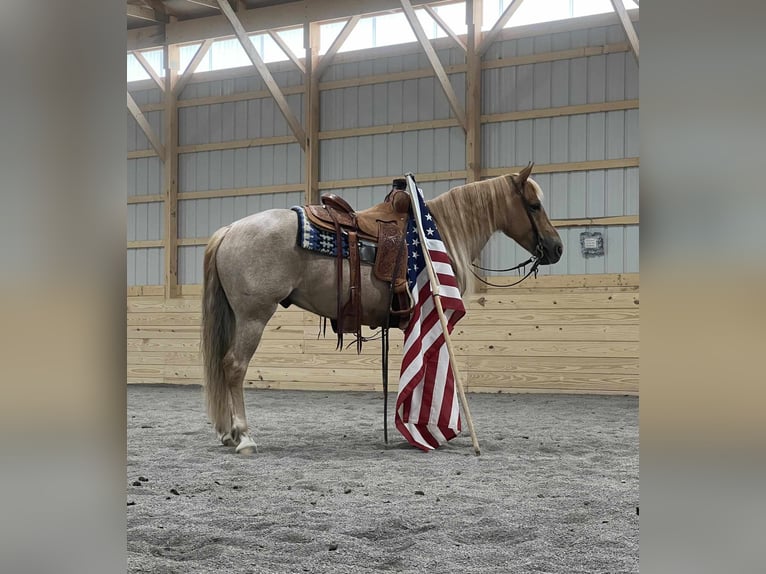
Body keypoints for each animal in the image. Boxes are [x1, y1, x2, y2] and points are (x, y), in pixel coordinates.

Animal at [201, 162, 568, 454]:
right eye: (534, 205)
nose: (557, 248)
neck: (439, 233)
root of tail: (230, 230)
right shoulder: (431, 314)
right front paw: (426, 429)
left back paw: (229, 434)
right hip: (254, 316)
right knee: (234, 366)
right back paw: (244, 437)